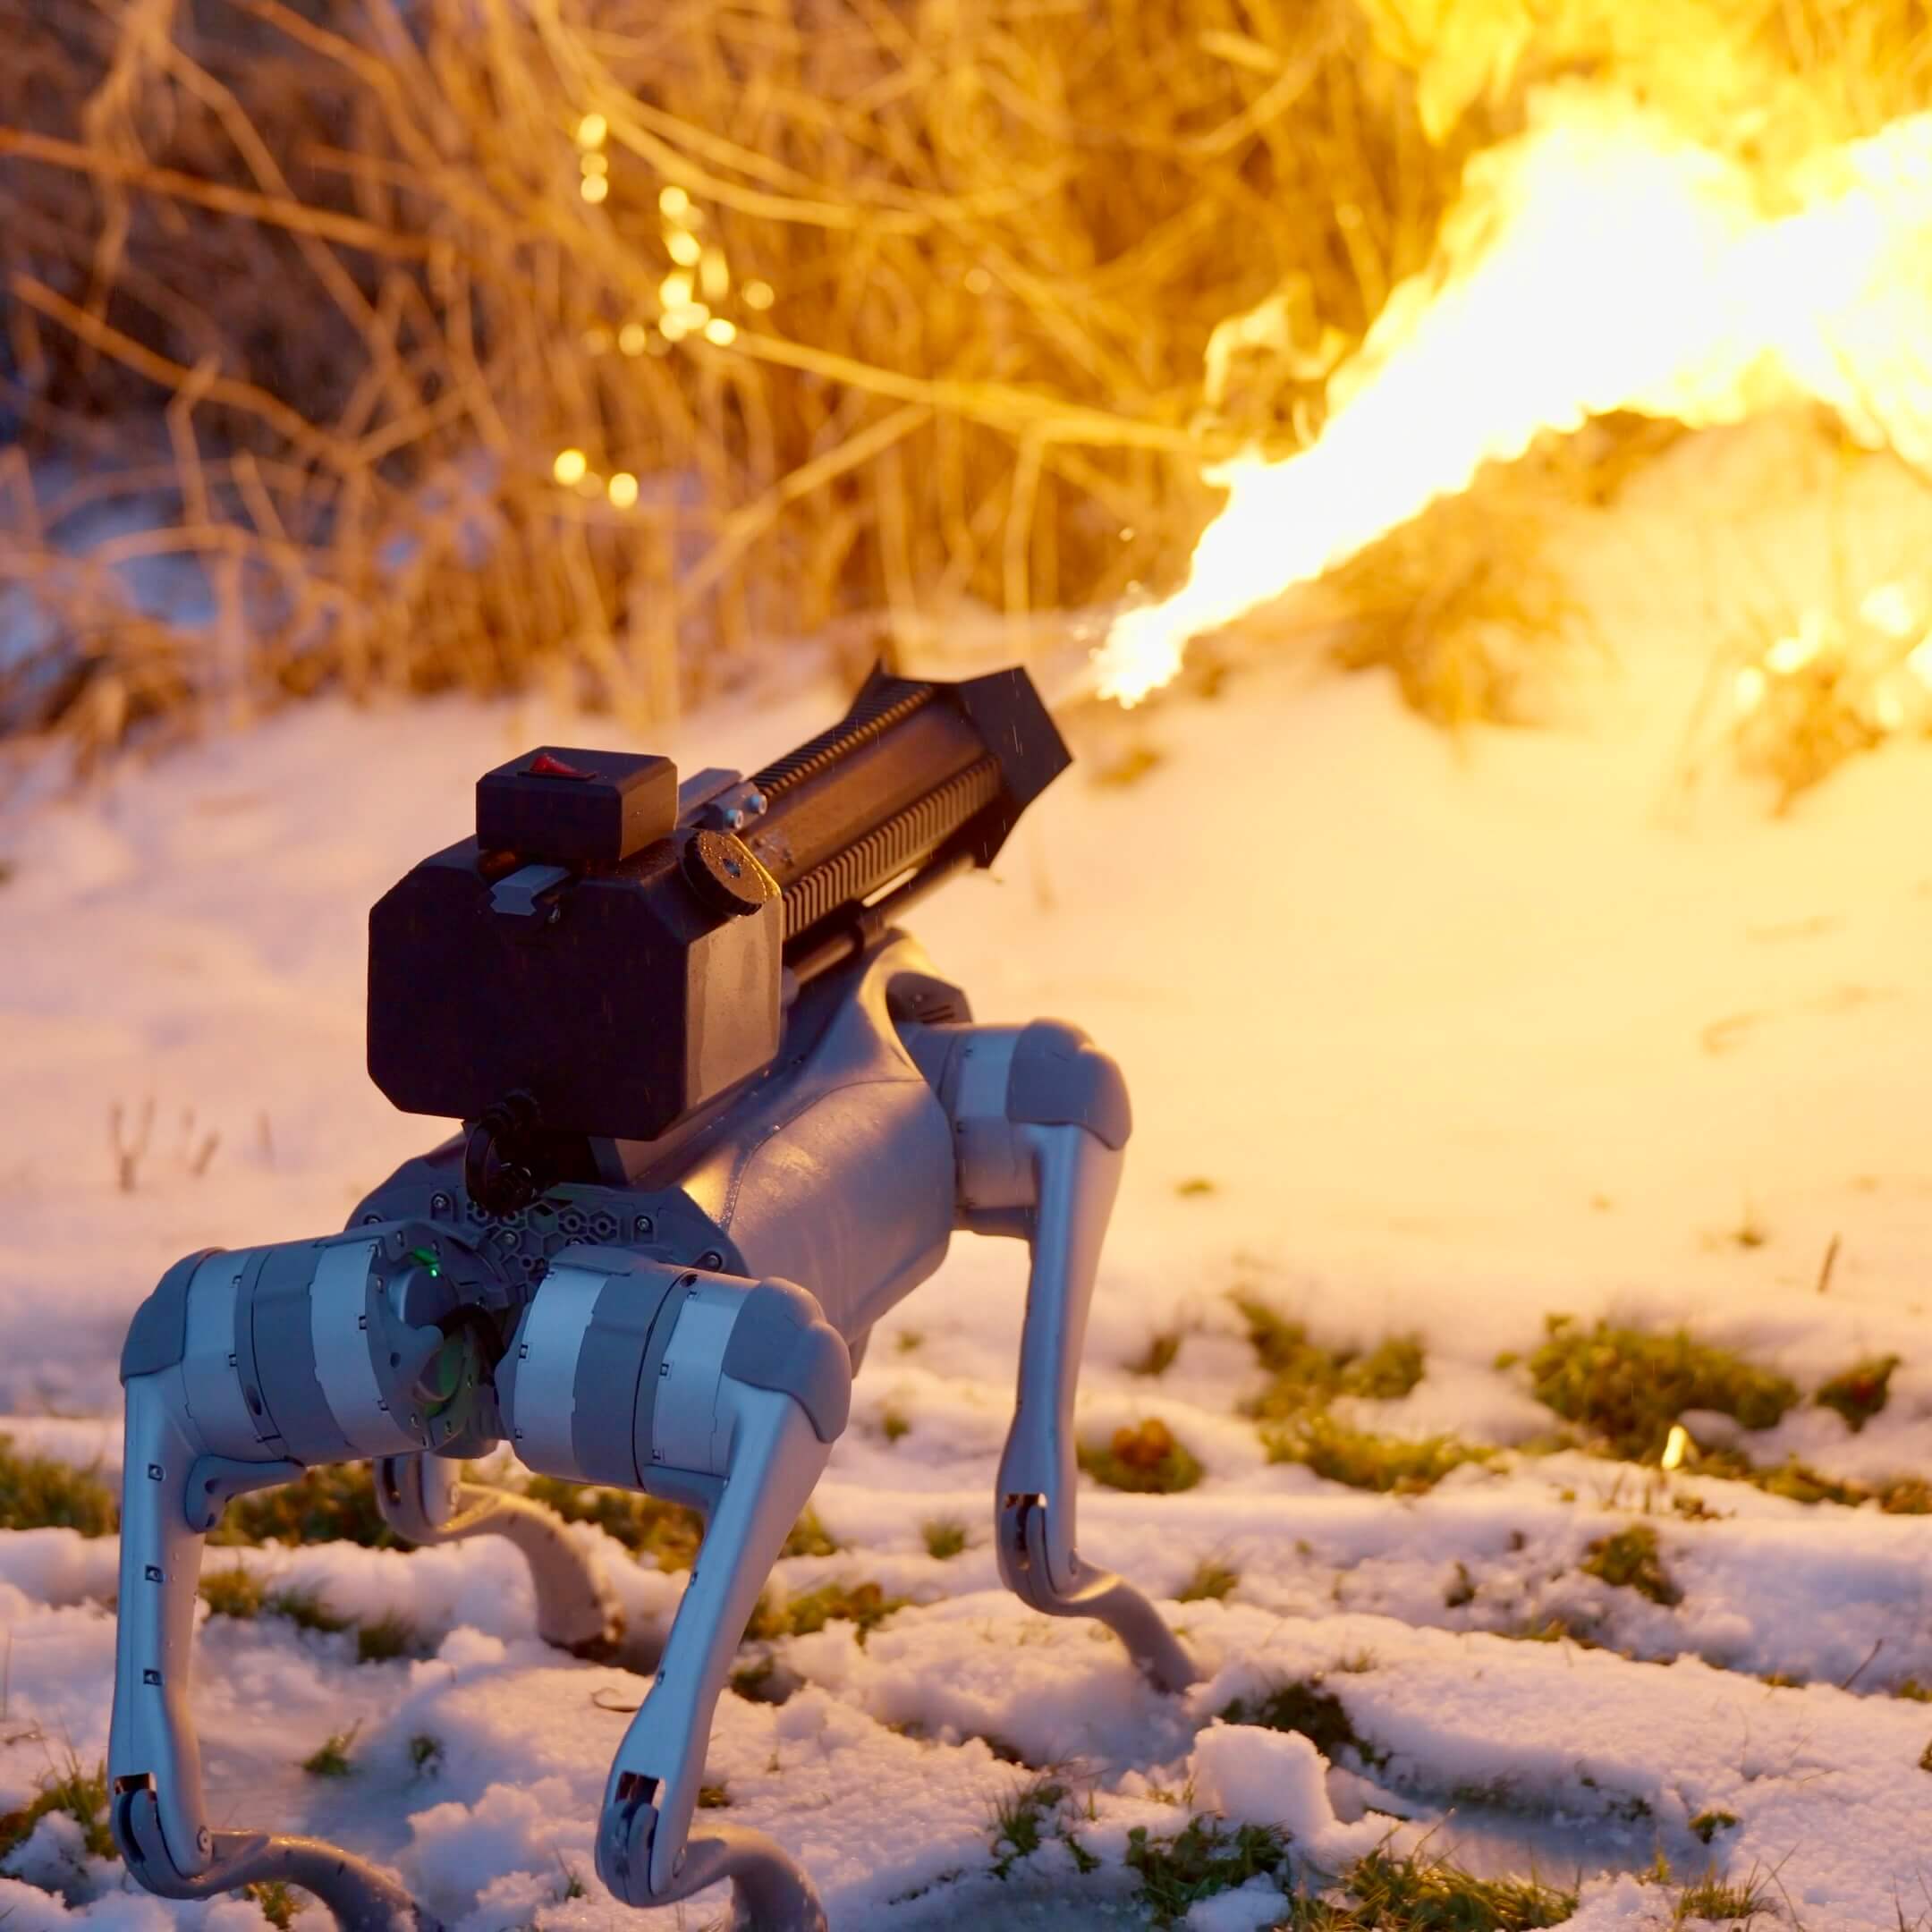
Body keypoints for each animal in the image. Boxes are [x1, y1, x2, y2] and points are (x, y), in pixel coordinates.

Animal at [109, 668, 1190, 1932]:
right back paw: (768, 1887)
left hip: (353, 1326)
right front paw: (1168, 1668)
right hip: (723, 1345)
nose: (998, 697)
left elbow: (418, 1506)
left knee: (170, 1802)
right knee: (644, 1815)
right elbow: (1037, 1517)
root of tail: (521, 1259)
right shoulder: (1002, 1121)